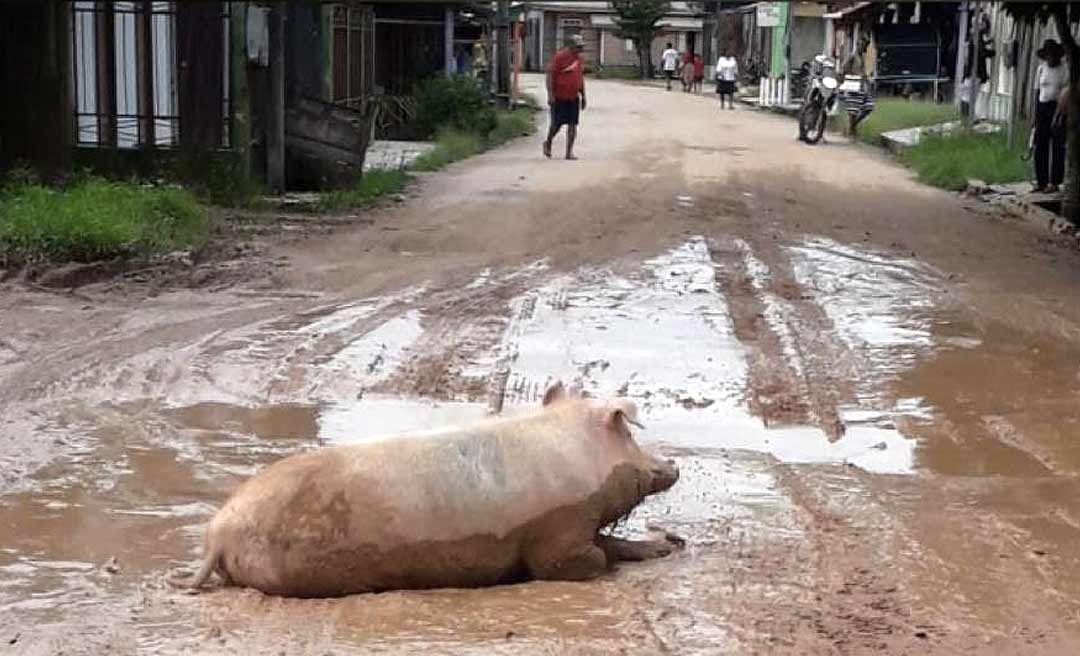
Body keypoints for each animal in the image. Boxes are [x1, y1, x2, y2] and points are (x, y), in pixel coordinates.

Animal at [169, 381, 680, 597]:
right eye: (630, 434)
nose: (673, 464)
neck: (575, 458)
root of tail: (217, 537)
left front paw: (671, 544)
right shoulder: (558, 536)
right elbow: (587, 559)